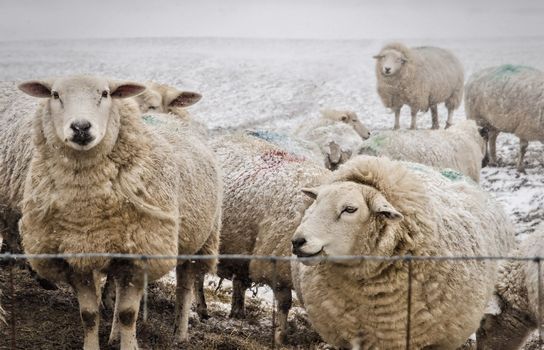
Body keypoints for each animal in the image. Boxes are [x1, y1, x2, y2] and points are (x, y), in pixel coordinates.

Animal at [18, 75, 223, 348]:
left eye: (105, 94)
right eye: (55, 95)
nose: (81, 127)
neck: (87, 211)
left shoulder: (139, 258)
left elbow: (128, 314)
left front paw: (130, 342)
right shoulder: (78, 255)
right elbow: (89, 314)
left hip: (200, 241)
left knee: (185, 286)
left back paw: (179, 334)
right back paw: (115, 334)